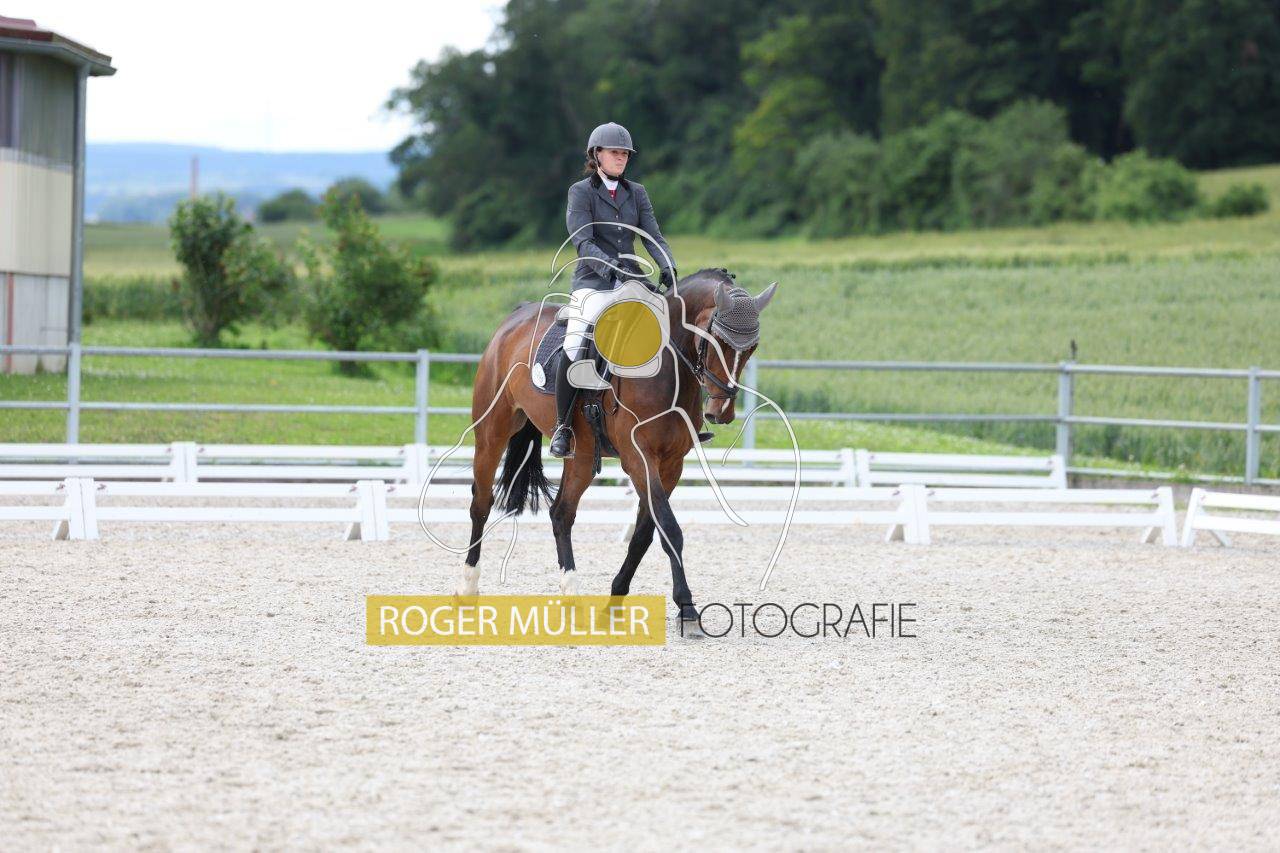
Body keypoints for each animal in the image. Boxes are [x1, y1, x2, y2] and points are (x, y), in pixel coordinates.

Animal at [457, 267, 777, 625]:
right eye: (715, 341)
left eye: (752, 348)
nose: (721, 413)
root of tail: (516, 315)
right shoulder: (639, 459)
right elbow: (669, 529)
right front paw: (687, 607)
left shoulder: (671, 464)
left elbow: (645, 534)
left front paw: (615, 602)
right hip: (492, 433)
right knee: (481, 504)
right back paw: (468, 589)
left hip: (581, 454)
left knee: (561, 513)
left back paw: (572, 595)